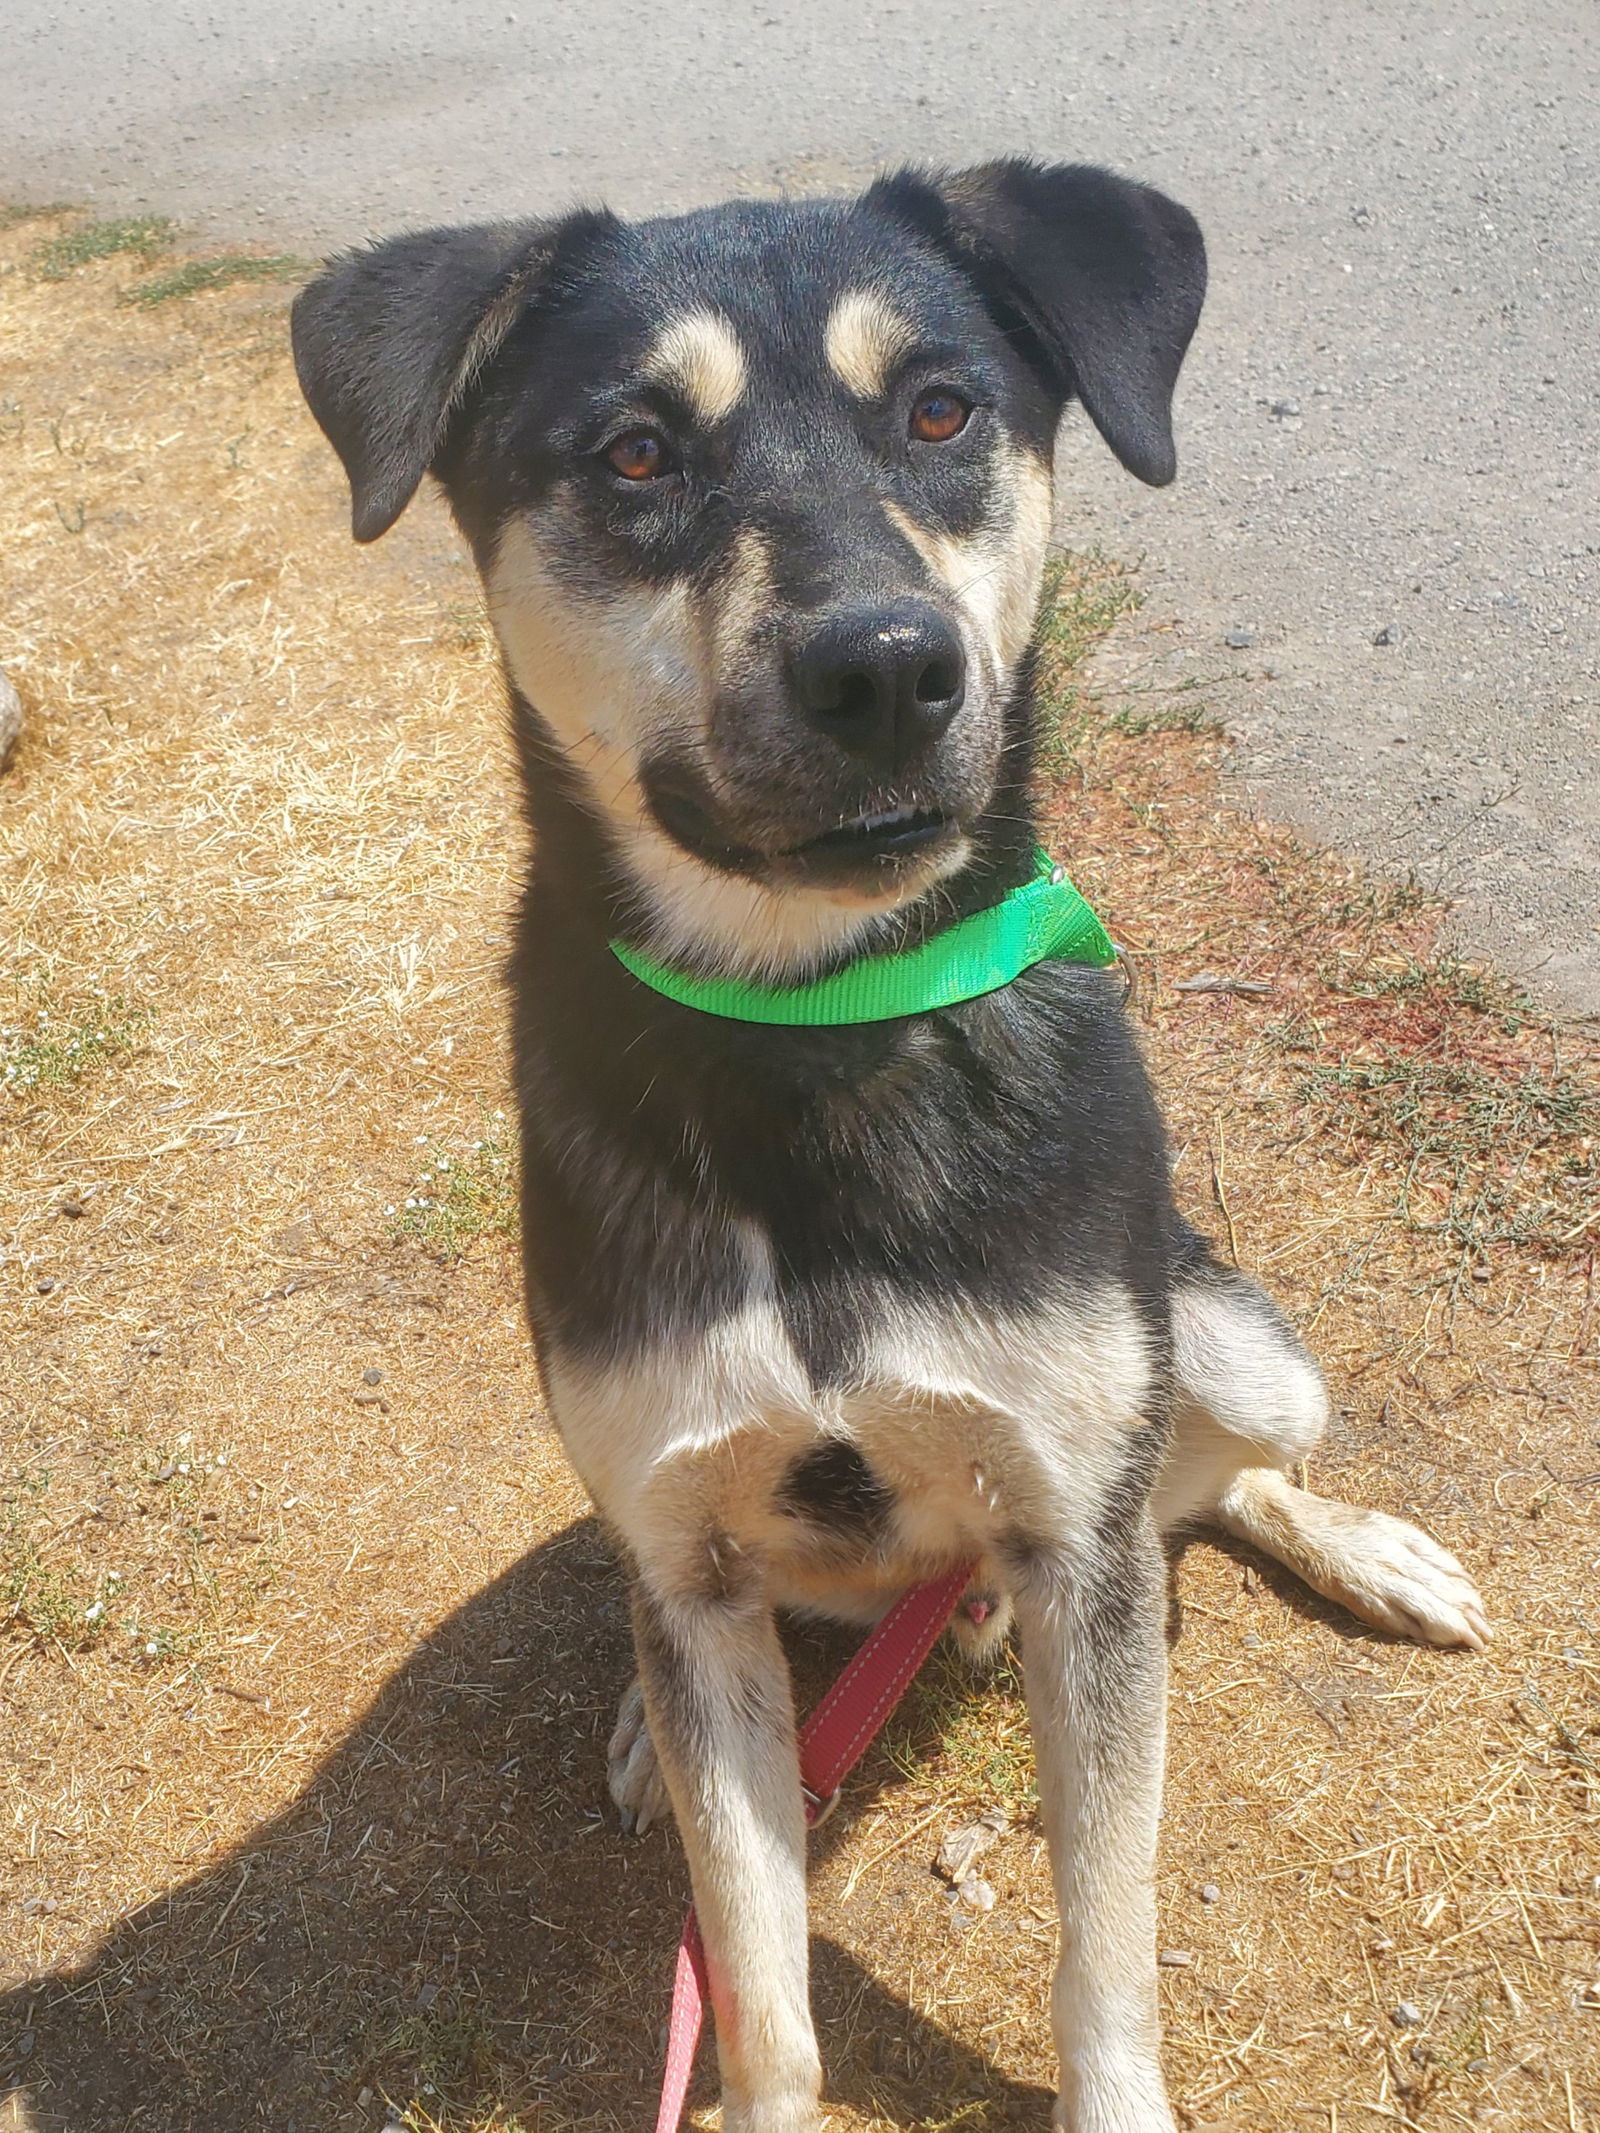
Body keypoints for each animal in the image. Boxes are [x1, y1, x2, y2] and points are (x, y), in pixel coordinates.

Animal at [292, 166, 1493, 2133]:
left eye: (940, 412)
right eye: (634, 451)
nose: (884, 666)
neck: (818, 1024)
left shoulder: (1080, 1531)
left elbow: (1106, 1942)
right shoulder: (690, 1535)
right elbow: (760, 1982)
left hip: (1229, 1337)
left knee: (1224, 1471)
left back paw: (1363, 1550)